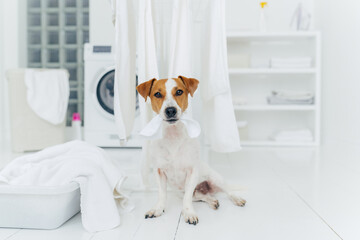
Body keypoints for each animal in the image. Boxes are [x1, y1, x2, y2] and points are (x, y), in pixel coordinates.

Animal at [136, 75, 246, 225]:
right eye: (157, 94)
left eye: (179, 92)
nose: (170, 110)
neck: (173, 136)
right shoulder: (159, 172)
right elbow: (162, 194)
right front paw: (158, 209)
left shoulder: (192, 171)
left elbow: (186, 199)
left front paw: (188, 213)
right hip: (183, 192)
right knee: (201, 196)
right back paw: (212, 201)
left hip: (215, 179)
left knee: (228, 191)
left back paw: (236, 198)